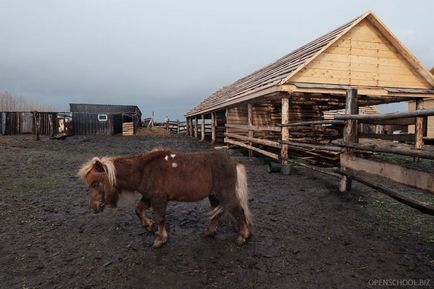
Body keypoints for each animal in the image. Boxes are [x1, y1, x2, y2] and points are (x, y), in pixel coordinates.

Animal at [79, 147, 251, 246]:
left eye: (95, 183)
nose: (94, 207)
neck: (143, 170)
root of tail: (233, 162)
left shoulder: (158, 199)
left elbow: (160, 218)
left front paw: (160, 239)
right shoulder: (148, 197)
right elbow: (138, 210)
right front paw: (148, 226)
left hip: (226, 195)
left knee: (239, 212)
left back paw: (243, 236)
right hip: (214, 196)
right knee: (217, 214)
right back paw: (210, 232)